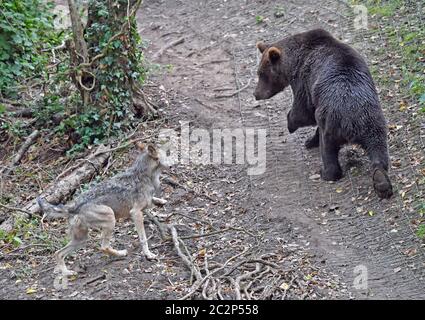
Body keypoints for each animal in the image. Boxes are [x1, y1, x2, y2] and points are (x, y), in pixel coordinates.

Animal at [253, 28, 392, 199]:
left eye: (262, 73)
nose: (256, 94)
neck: (293, 63)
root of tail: (352, 122)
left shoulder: (304, 81)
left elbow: (302, 111)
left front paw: (292, 124)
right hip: (373, 121)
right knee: (379, 151)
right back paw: (381, 182)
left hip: (332, 123)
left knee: (327, 148)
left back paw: (326, 172)